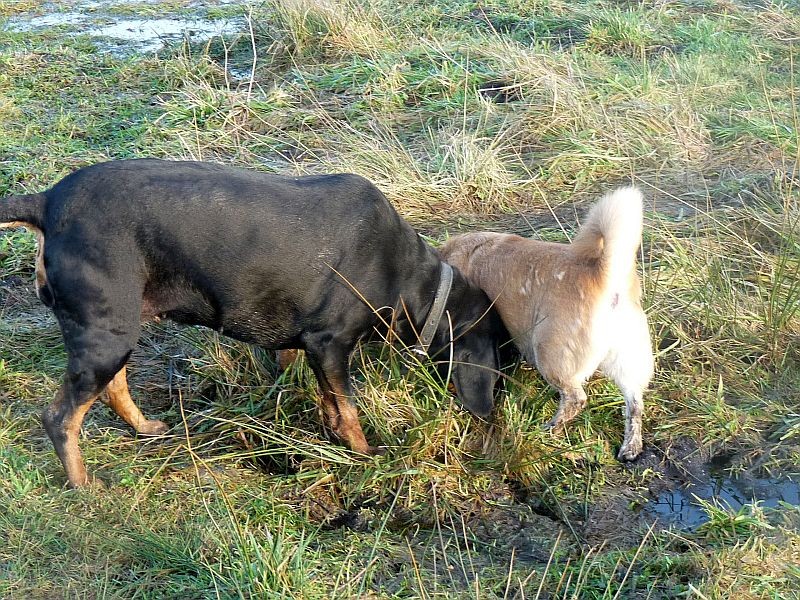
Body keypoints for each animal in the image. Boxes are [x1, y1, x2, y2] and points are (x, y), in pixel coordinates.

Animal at [1, 159, 506, 488]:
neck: (408, 277)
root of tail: (47, 203)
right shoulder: (329, 343)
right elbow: (348, 409)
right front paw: (365, 454)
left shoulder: (313, 350)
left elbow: (329, 402)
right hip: (107, 335)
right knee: (60, 418)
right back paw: (83, 485)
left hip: (117, 326)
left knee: (114, 388)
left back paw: (145, 429)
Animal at [440, 189, 652, 460]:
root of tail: (605, 274)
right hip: (628, 366)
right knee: (634, 404)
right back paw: (630, 447)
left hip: (550, 355)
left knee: (575, 399)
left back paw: (549, 430)